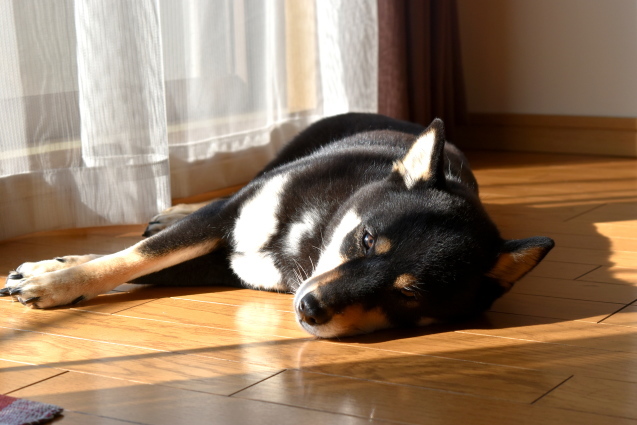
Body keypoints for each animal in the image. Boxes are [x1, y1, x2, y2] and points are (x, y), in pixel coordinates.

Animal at [0, 113, 552, 338]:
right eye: (365, 239)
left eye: (410, 294)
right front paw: (56, 280)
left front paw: (58, 274)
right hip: (266, 169)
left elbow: (139, 265)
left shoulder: (224, 265)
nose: (309, 307)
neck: (310, 237)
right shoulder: (225, 218)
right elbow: (133, 257)